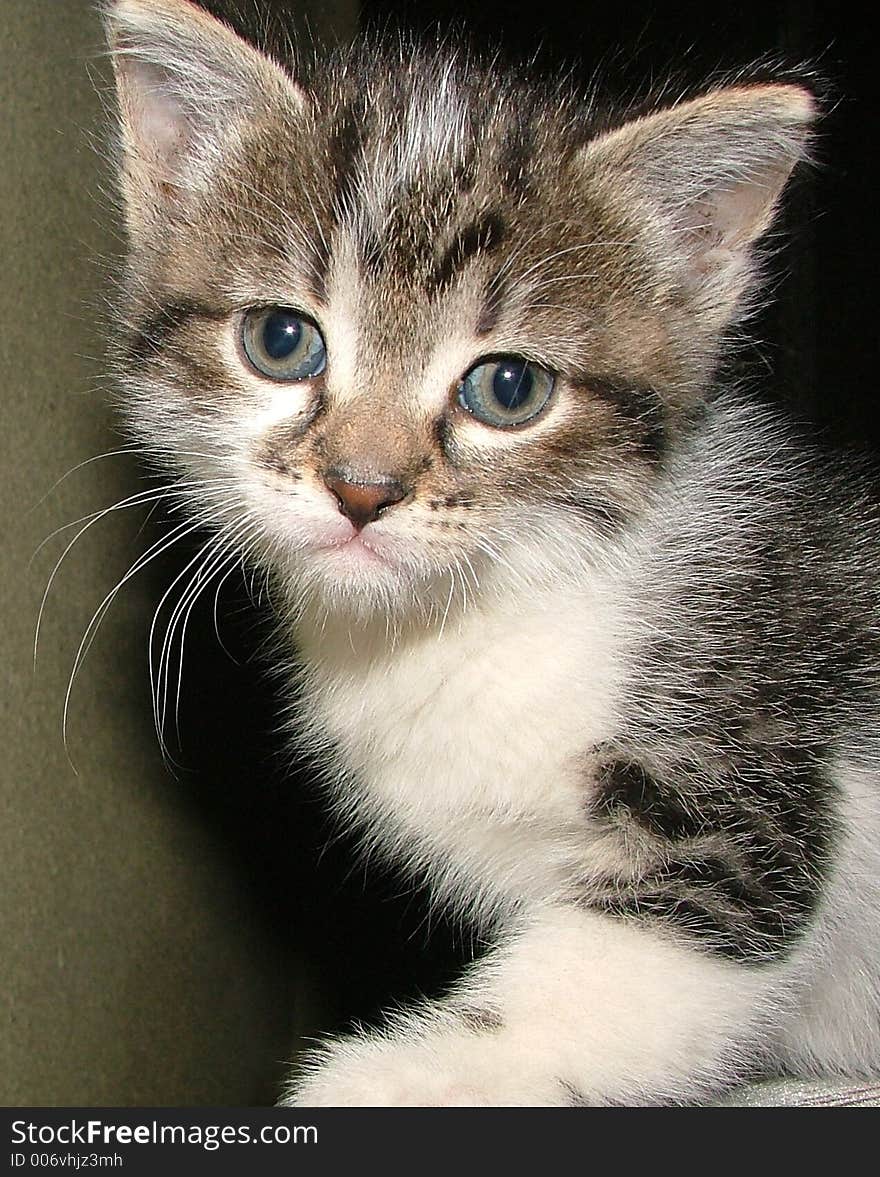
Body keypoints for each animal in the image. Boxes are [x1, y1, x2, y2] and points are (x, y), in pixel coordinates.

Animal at [101, 0, 880, 1101]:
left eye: (509, 389)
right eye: (281, 341)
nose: (363, 488)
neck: (483, 615)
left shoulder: (752, 755)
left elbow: (638, 964)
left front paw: (385, 1079)